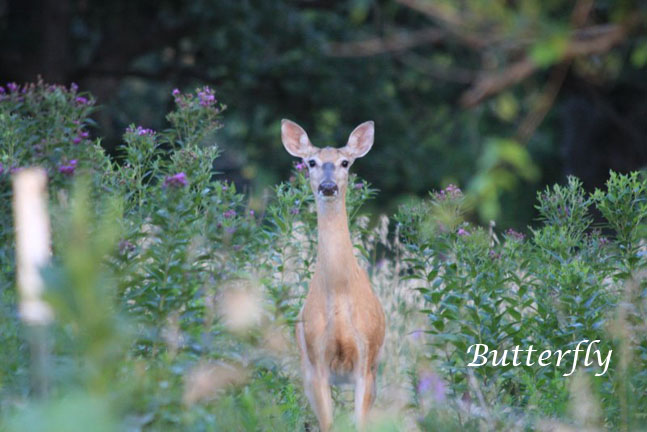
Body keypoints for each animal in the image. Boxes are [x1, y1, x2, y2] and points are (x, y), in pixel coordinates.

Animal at [282, 119, 384, 432]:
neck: (339, 296)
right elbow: (327, 424)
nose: (328, 186)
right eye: (311, 162)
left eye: (345, 162)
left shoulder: (366, 360)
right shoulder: (317, 361)